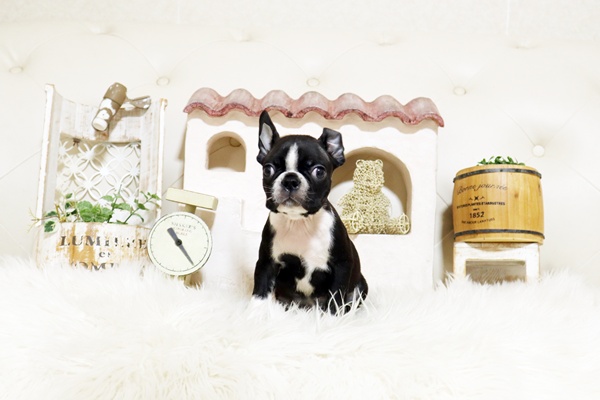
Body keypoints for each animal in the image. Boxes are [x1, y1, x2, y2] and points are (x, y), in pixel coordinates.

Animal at [252, 110, 368, 313]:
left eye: (319, 171)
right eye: (268, 169)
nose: (290, 180)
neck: (299, 222)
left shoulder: (341, 266)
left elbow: (335, 297)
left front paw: (331, 319)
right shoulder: (266, 263)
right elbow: (259, 293)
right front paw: (251, 315)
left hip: (361, 285)